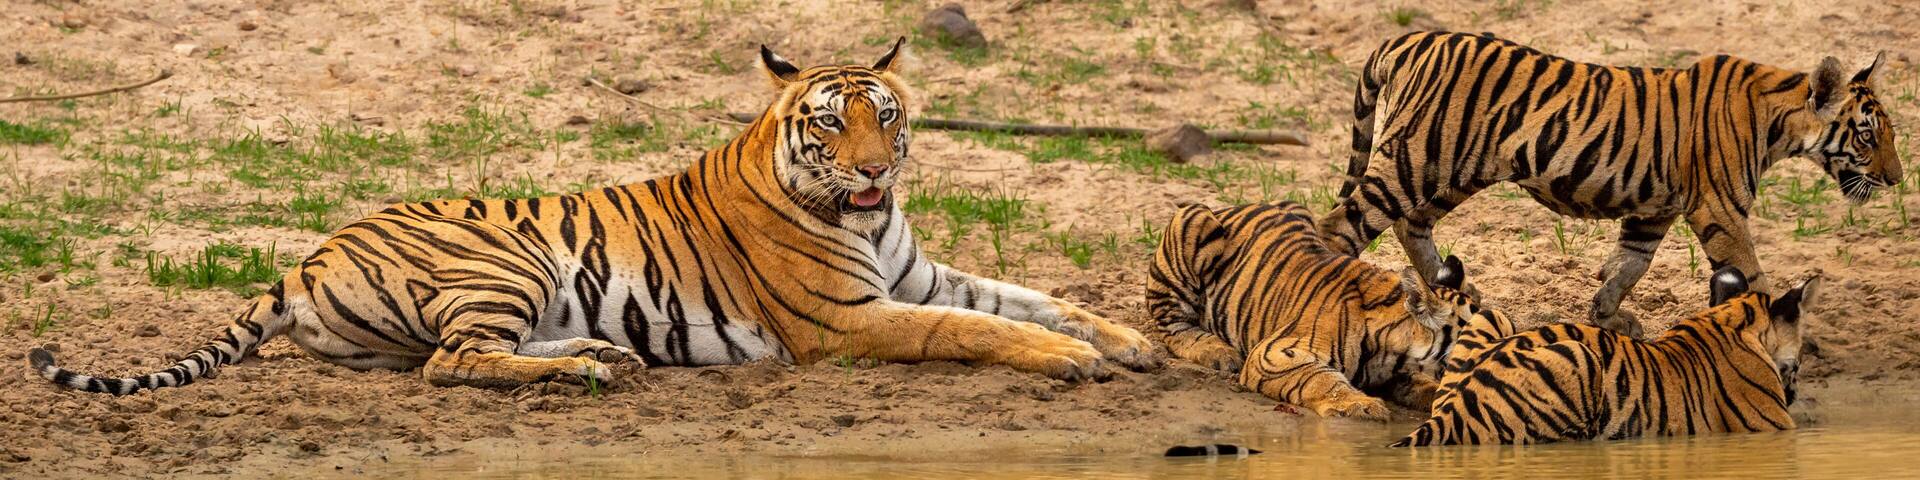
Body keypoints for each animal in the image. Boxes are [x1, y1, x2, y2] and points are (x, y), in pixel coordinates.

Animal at [26, 38, 1162, 395]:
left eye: (885, 117)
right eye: (830, 127)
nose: (875, 174)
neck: (869, 222)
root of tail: (304, 258)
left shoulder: (918, 273)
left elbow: (1036, 297)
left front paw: (1130, 341)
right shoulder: (852, 318)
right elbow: (974, 328)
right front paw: (1072, 361)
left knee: (454, 355)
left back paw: (601, 357)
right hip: (509, 257)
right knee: (452, 365)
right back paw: (580, 373)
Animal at [1146, 201, 1481, 420]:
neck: (1395, 351)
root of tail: (1229, 207)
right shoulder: (1273, 354)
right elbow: (1320, 378)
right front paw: (1360, 405)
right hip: (1192, 221)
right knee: (1172, 325)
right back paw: (1218, 352)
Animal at [1317, 31, 1900, 338]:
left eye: (1889, 134)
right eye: (1868, 136)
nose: (1895, 179)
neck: (1780, 121)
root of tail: (1411, 36)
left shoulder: (1656, 210)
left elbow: (1630, 265)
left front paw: (1608, 316)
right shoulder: (1719, 209)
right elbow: (1754, 277)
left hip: (1454, 171)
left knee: (1411, 225)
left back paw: (1464, 293)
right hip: (1413, 160)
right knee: (1340, 227)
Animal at [1391, 266, 1817, 446]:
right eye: (1797, 362)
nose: (1795, 393)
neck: (1732, 319)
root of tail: (1451, 411)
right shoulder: (1773, 425)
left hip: (1494, 316)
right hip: (1577, 355)